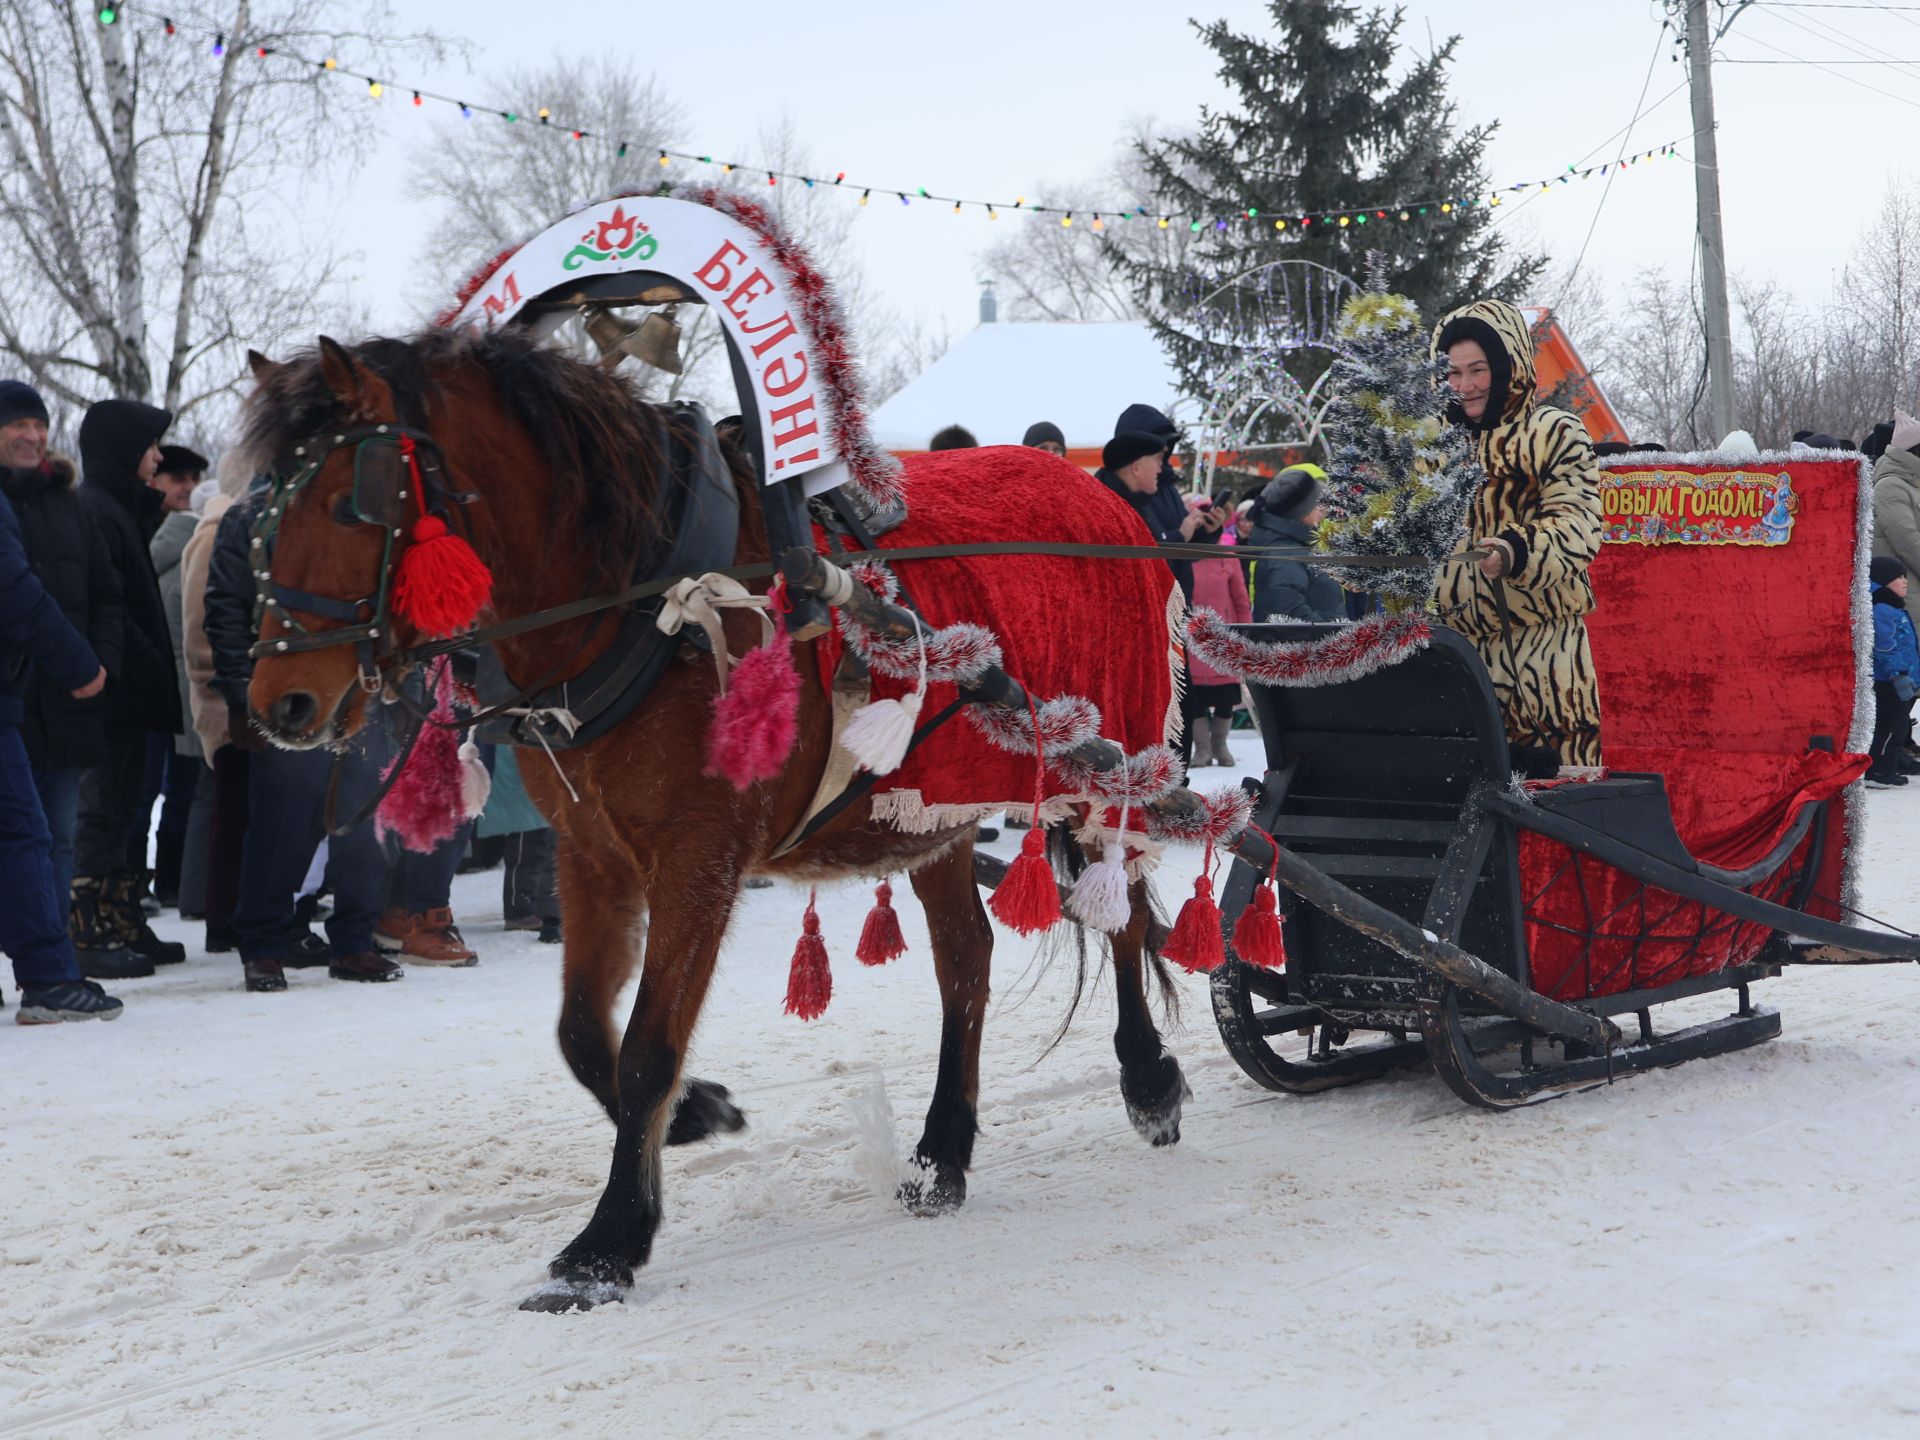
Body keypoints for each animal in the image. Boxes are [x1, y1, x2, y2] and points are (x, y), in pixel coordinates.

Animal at [240, 330, 1190, 1320]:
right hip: (934, 806)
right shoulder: (591, 853)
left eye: (350, 502)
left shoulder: (699, 857)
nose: (280, 703)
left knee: (1121, 918)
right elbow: (583, 1032)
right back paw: (942, 1156)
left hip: (1101, 765)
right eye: (257, 518)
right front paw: (693, 1116)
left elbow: (647, 1047)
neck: (649, 603)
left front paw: (605, 1245)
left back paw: (1147, 1079)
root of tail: (1099, 496)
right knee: (966, 960)